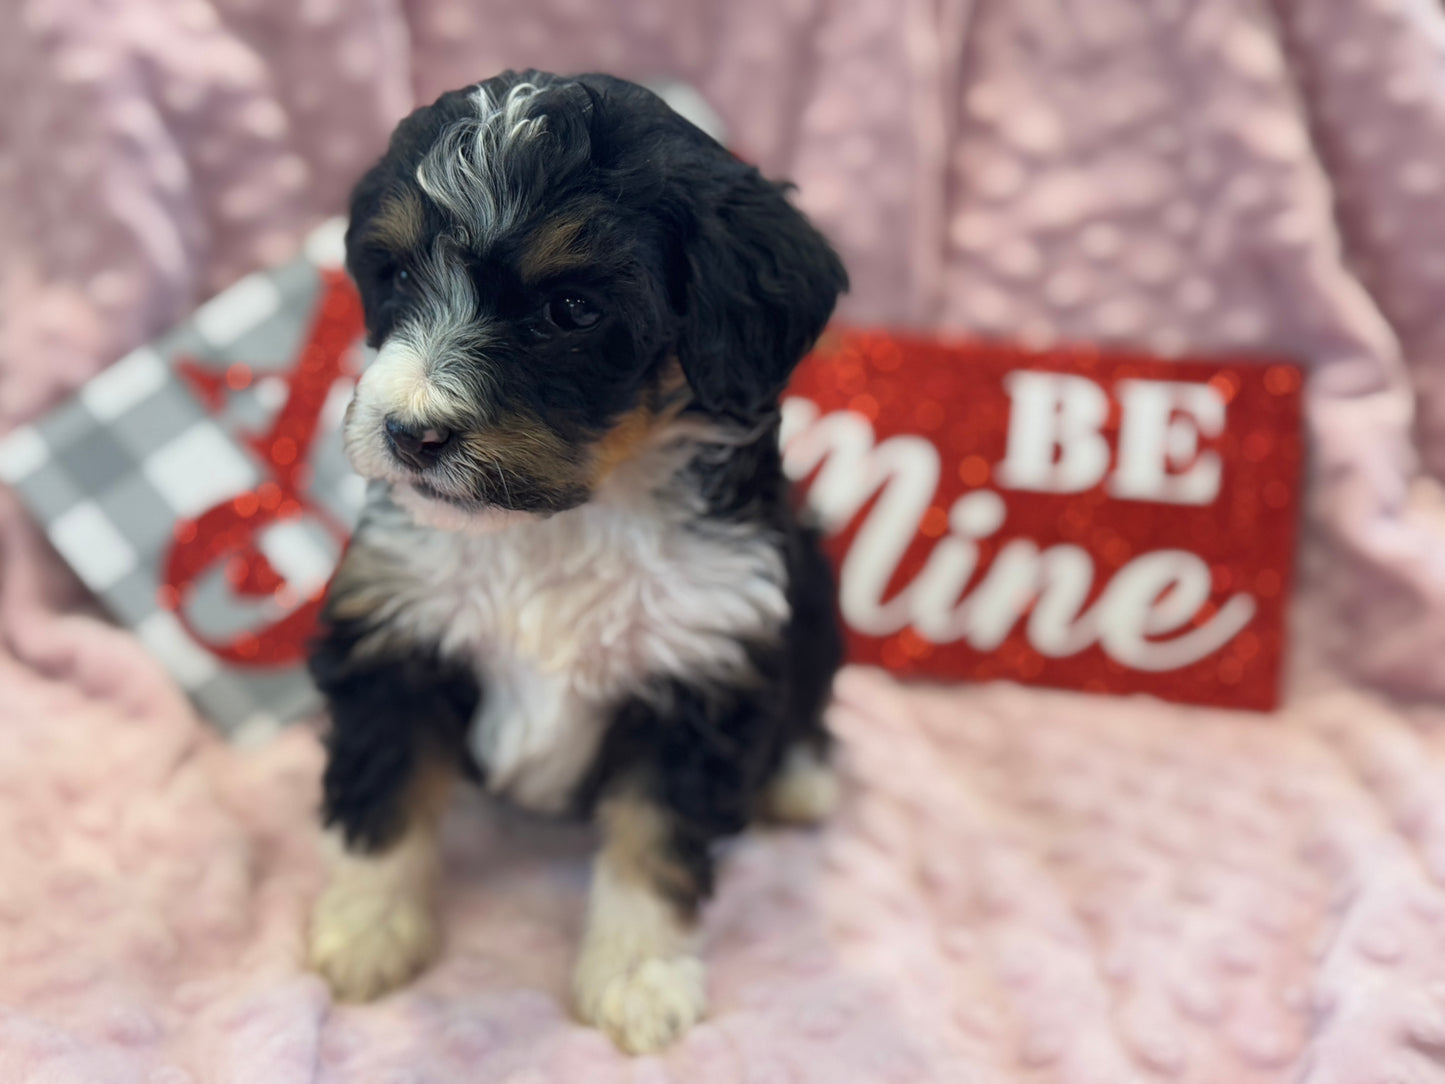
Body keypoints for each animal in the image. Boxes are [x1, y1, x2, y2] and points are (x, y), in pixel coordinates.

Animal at [304, 72, 843, 1057]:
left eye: (570, 311)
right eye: (394, 273)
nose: (408, 433)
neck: (559, 524)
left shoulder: (700, 665)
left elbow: (653, 841)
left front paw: (638, 978)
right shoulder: (395, 631)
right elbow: (382, 789)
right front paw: (366, 932)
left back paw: (799, 778)